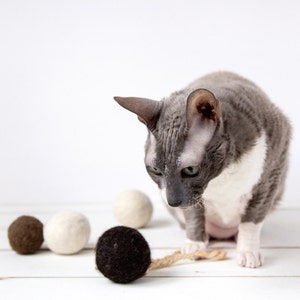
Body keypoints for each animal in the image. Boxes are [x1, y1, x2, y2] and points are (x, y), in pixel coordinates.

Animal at [113, 71, 292, 268]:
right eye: (156, 170)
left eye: (190, 170)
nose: (172, 202)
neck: (222, 176)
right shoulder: (189, 198)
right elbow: (193, 215)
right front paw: (194, 245)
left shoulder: (270, 177)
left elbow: (251, 221)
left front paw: (247, 252)